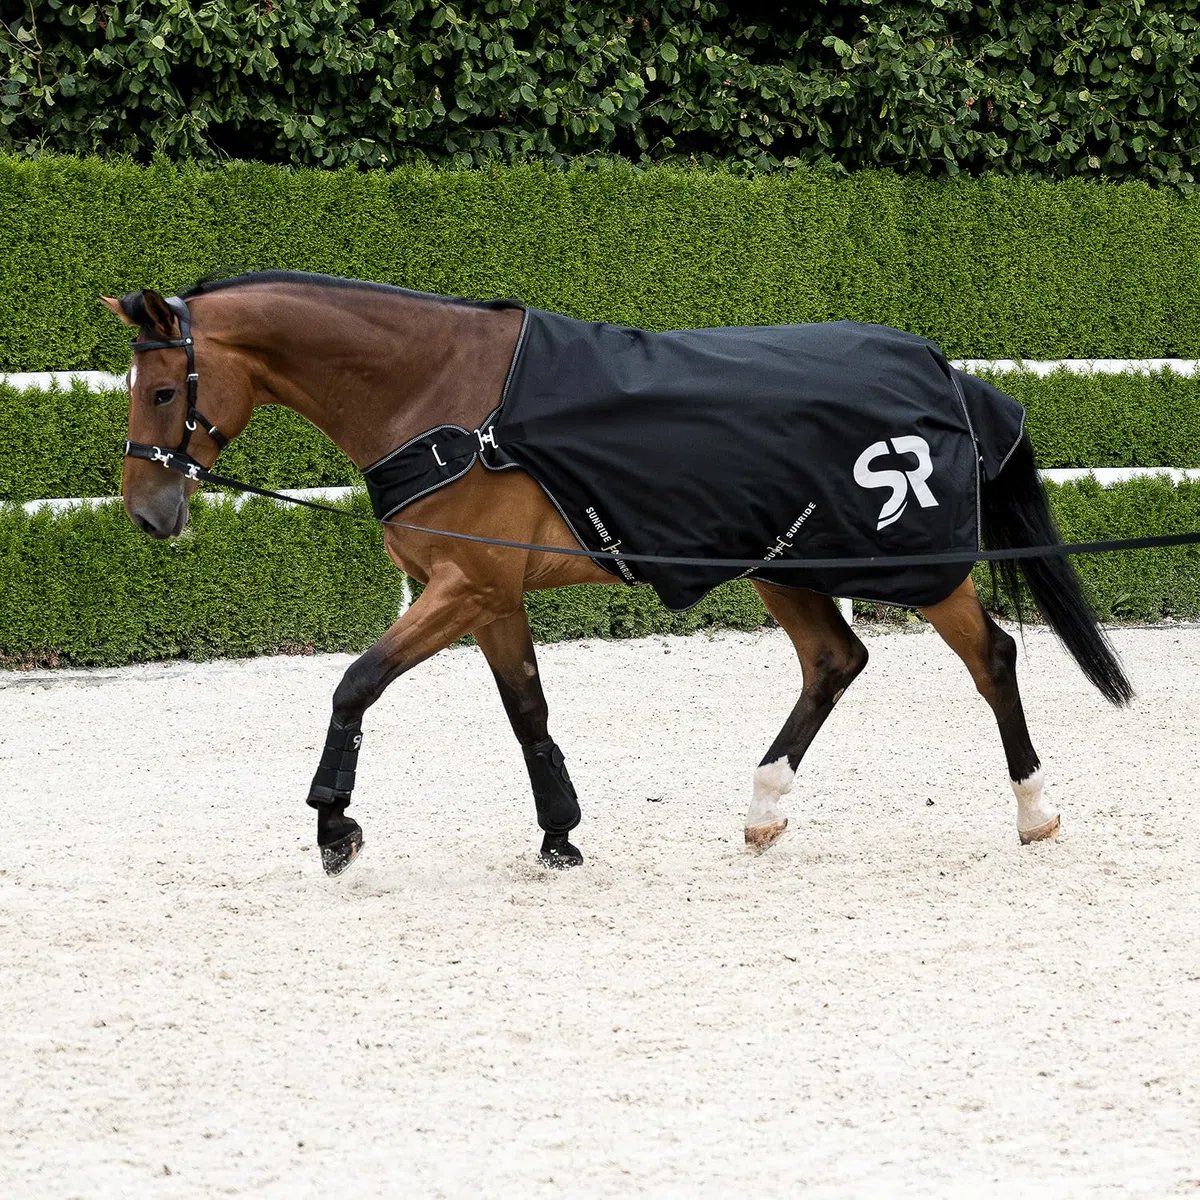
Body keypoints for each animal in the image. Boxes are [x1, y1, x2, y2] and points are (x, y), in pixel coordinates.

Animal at [102, 272, 1132, 876]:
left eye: (165, 389)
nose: (149, 514)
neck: (442, 400)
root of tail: (948, 372)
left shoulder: (463, 589)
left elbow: (356, 683)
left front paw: (334, 827)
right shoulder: (489, 599)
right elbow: (528, 712)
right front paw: (560, 832)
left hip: (915, 566)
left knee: (990, 656)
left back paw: (1034, 812)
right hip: (783, 564)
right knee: (834, 661)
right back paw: (763, 810)